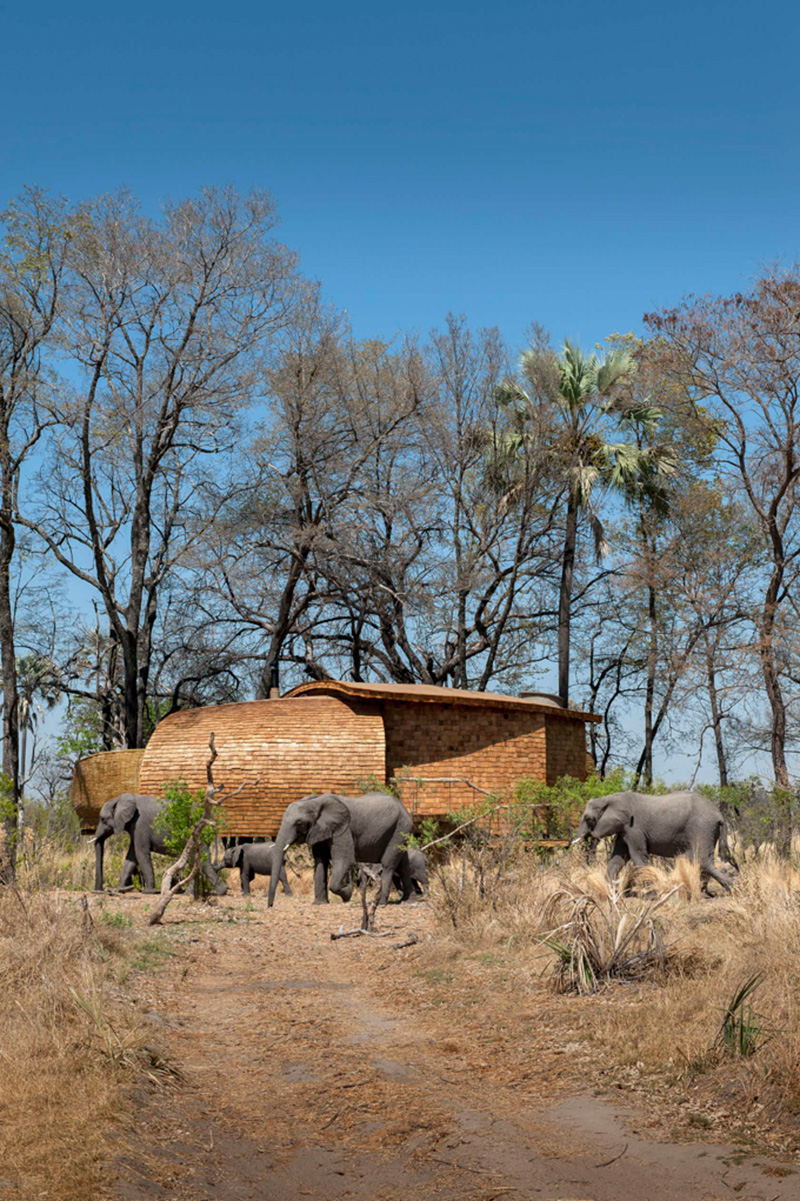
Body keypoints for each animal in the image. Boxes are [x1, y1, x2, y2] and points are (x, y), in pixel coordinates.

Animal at [91, 792, 225, 898]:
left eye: (102, 819)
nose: (98, 891)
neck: (119, 798)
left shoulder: (140, 824)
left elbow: (141, 854)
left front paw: (148, 892)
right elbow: (131, 857)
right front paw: (121, 889)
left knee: (199, 860)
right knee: (199, 861)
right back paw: (213, 892)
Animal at [269, 792, 413, 903]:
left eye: (299, 823)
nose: (270, 906)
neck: (315, 802)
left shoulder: (343, 828)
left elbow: (345, 860)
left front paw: (348, 894)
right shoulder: (320, 830)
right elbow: (320, 860)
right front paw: (320, 904)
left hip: (400, 828)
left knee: (388, 865)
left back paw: (382, 903)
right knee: (404, 865)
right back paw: (409, 900)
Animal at [569, 787, 730, 893]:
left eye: (588, 818)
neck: (609, 798)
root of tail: (719, 814)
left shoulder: (634, 827)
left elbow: (637, 856)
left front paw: (651, 890)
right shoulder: (624, 829)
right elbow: (617, 859)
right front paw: (609, 891)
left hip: (702, 827)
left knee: (702, 859)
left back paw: (729, 887)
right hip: (708, 829)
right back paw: (705, 891)